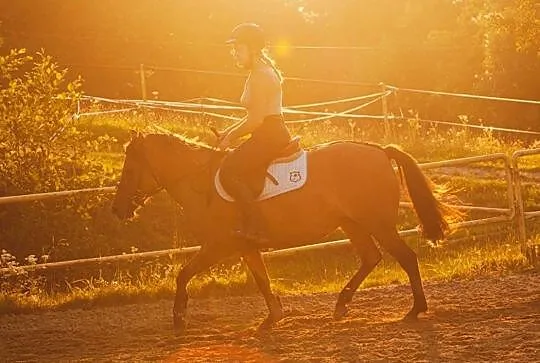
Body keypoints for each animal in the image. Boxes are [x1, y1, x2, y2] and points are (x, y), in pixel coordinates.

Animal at [113, 131, 460, 332]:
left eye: (129, 169)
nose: (118, 210)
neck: (202, 182)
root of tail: (377, 150)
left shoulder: (219, 245)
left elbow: (183, 274)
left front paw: (179, 316)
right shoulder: (245, 247)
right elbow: (262, 280)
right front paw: (273, 317)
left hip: (377, 223)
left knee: (406, 257)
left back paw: (415, 310)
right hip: (352, 223)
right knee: (371, 258)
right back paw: (341, 305)